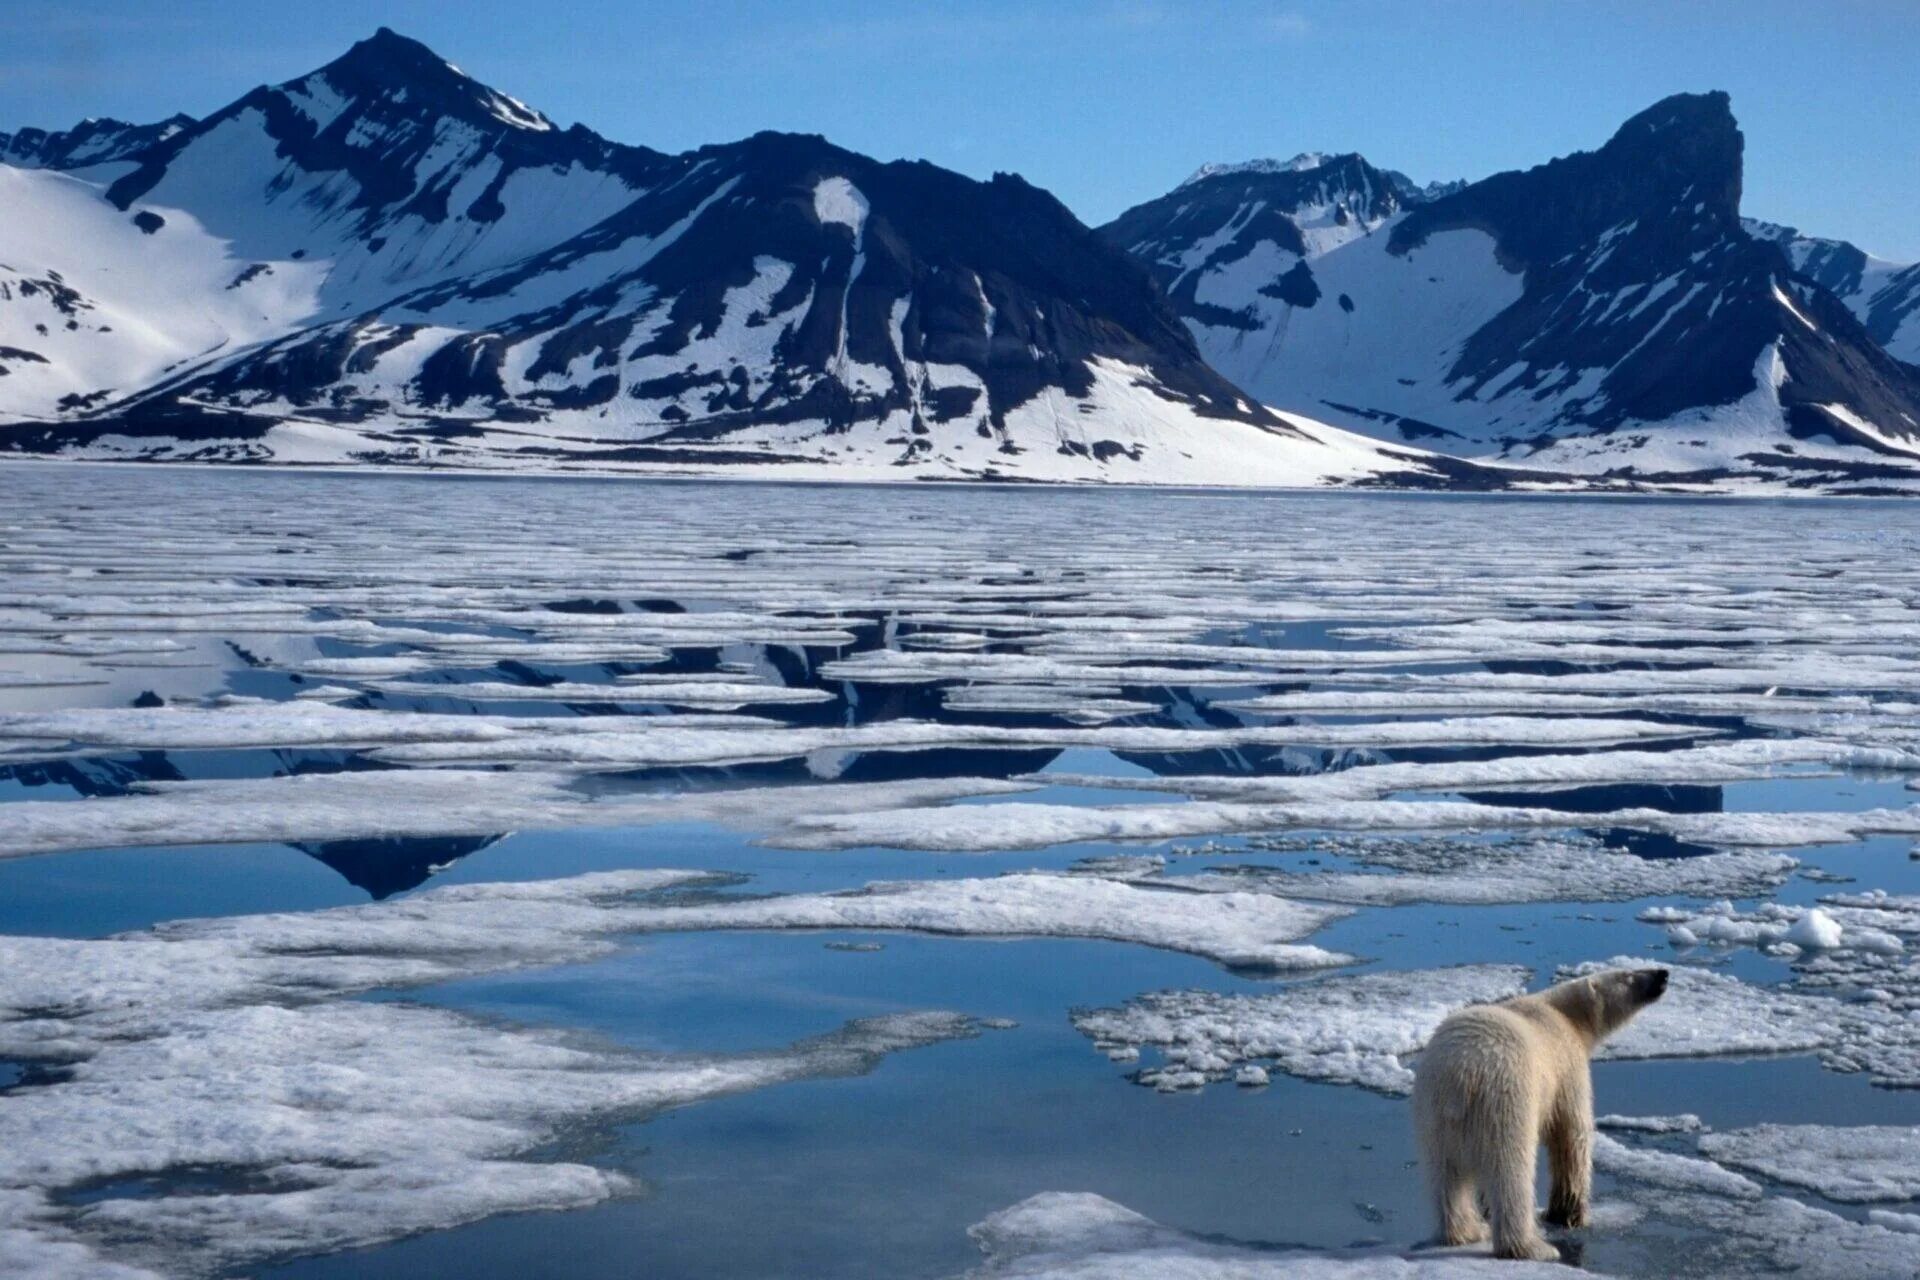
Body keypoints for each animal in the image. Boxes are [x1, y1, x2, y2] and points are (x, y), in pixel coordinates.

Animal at [1413, 971, 1666, 1258]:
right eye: (1629, 976)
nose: (1663, 974)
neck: (1563, 1013)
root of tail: (1460, 1075)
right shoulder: (1567, 1067)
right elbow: (1571, 1134)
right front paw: (1567, 1215)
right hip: (1505, 1102)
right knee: (1511, 1171)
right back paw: (1532, 1246)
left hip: (1432, 1115)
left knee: (1444, 1177)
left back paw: (1467, 1232)